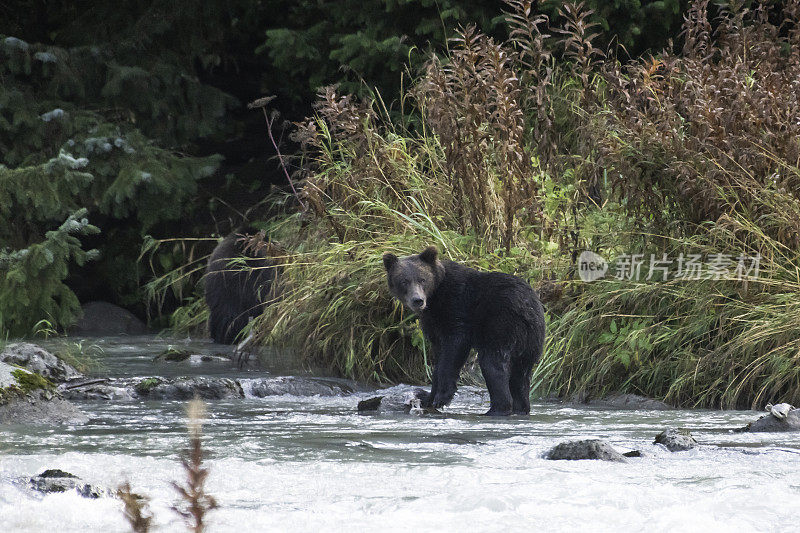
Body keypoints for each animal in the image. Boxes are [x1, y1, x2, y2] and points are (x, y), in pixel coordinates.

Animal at [382, 246, 544, 416]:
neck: (434, 298)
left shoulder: (457, 305)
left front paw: (441, 397)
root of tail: (530, 308)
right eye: (404, 281)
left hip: (501, 324)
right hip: (531, 343)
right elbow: (439, 357)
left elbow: (454, 348)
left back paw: (494, 410)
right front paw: (427, 396)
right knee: (520, 377)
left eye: (422, 279)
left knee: (493, 364)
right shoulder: (434, 324)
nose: (418, 300)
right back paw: (520, 408)